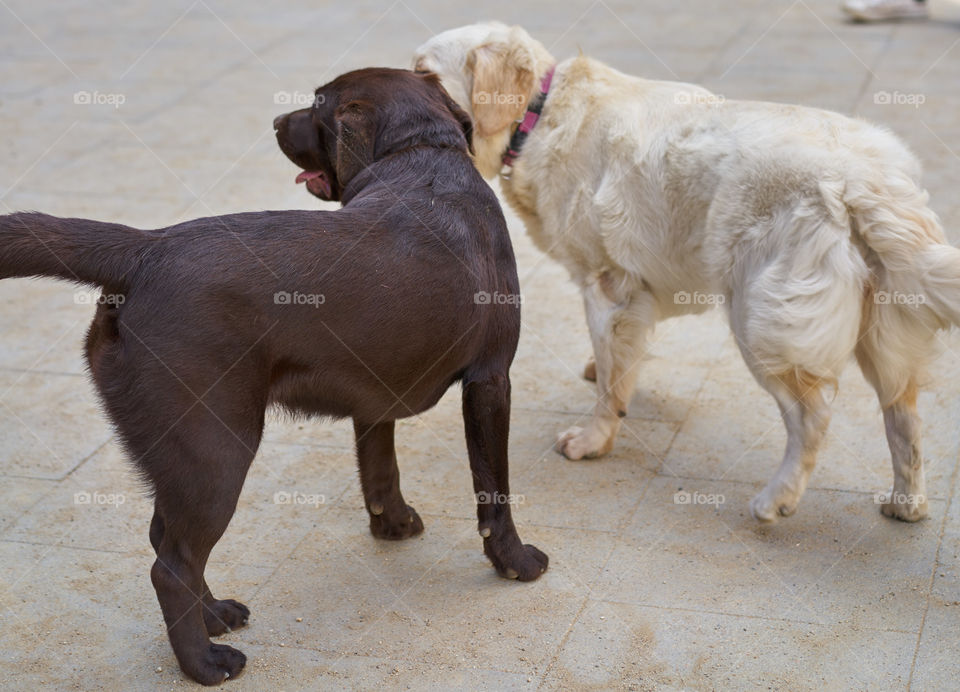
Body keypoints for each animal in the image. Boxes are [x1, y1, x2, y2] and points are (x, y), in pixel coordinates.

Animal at [0, 67, 544, 684]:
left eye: (315, 105)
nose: (278, 120)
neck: (421, 155)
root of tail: (147, 249)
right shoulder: (492, 379)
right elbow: (494, 491)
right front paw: (515, 562)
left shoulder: (376, 393)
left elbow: (380, 469)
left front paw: (395, 526)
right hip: (217, 449)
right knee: (171, 565)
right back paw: (204, 663)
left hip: (184, 455)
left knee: (166, 541)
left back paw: (214, 615)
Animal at [414, 23, 960, 524]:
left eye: (425, 73)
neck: (540, 112)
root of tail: (863, 179)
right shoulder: (634, 293)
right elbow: (620, 360)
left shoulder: (605, 286)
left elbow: (610, 378)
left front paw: (595, 438)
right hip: (882, 330)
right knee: (904, 416)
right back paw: (906, 504)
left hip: (759, 321)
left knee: (814, 417)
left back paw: (777, 497)